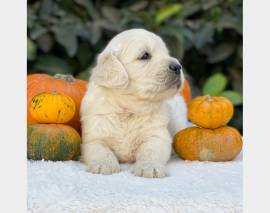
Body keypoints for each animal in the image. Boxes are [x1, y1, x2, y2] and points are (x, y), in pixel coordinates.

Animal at [80, 28, 188, 178]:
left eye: (166, 53)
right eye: (145, 56)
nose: (178, 67)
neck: (128, 109)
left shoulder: (157, 136)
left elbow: (150, 151)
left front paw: (150, 167)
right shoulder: (93, 137)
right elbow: (101, 151)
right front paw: (104, 165)